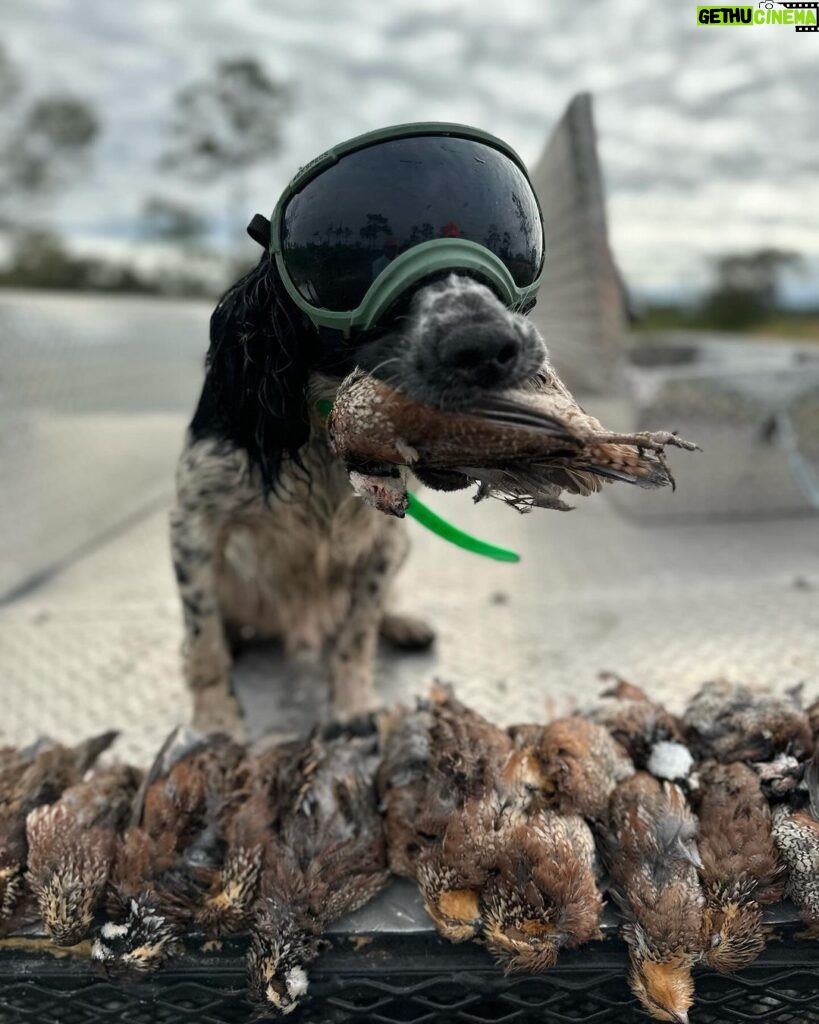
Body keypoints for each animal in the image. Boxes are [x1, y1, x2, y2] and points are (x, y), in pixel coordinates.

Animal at [169, 256, 548, 737]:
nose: (488, 348)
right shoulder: (192, 524)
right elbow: (204, 637)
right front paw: (215, 720)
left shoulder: (385, 539)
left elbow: (359, 628)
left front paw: (353, 707)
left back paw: (402, 624)